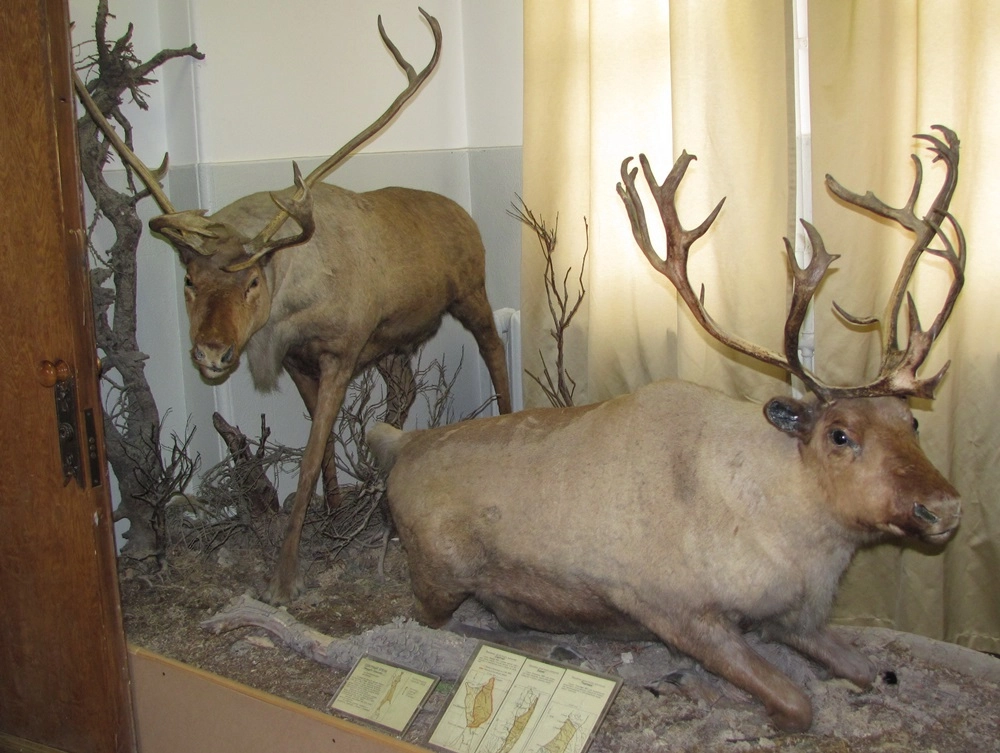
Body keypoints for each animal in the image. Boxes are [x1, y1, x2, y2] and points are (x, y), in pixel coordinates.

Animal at [74, 10, 512, 604]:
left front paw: (282, 577)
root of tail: (464, 213)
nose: (211, 352)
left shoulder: (342, 353)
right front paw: (333, 517)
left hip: (472, 293)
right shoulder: (302, 361)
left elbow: (306, 458)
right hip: (395, 340)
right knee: (403, 391)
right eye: (188, 278)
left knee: (495, 352)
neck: (290, 312)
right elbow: (321, 449)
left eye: (253, 279)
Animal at [367, 126, 965, 732]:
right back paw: (546, 645)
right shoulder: (675, 610)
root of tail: (398, 443)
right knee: (424, 622)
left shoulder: (788, 617)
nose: (943, 507)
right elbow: (796, 703)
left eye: (911, 419)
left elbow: (868, 670)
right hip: (439, 577)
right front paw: (689, 686)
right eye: (839, 434)